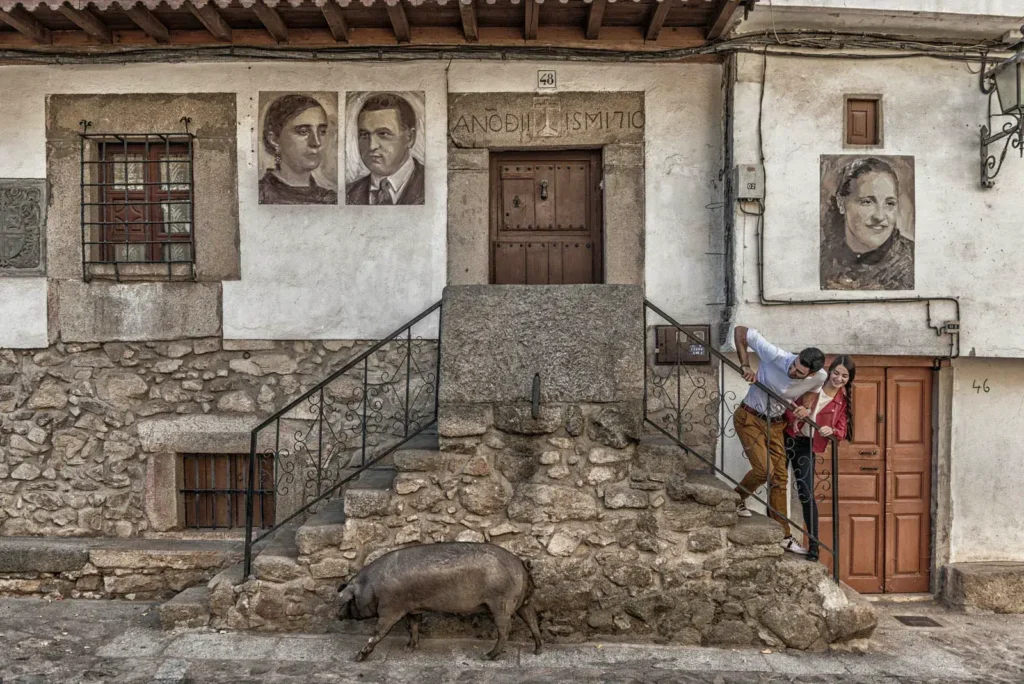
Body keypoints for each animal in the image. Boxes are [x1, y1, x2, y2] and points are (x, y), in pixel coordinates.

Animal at [335, 540, 544, 659]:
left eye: (345, 601)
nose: (336, 615)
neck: (372, 588)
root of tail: (522, 564)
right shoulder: (413, 608)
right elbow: (414, 626)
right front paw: (408, 649)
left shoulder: (391, 608)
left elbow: (379, 631)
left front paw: (358, 657)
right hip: (523, 600)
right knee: (532, 620)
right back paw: (537, 651)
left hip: (501, 602)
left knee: (505, 630)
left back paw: (488, 656)